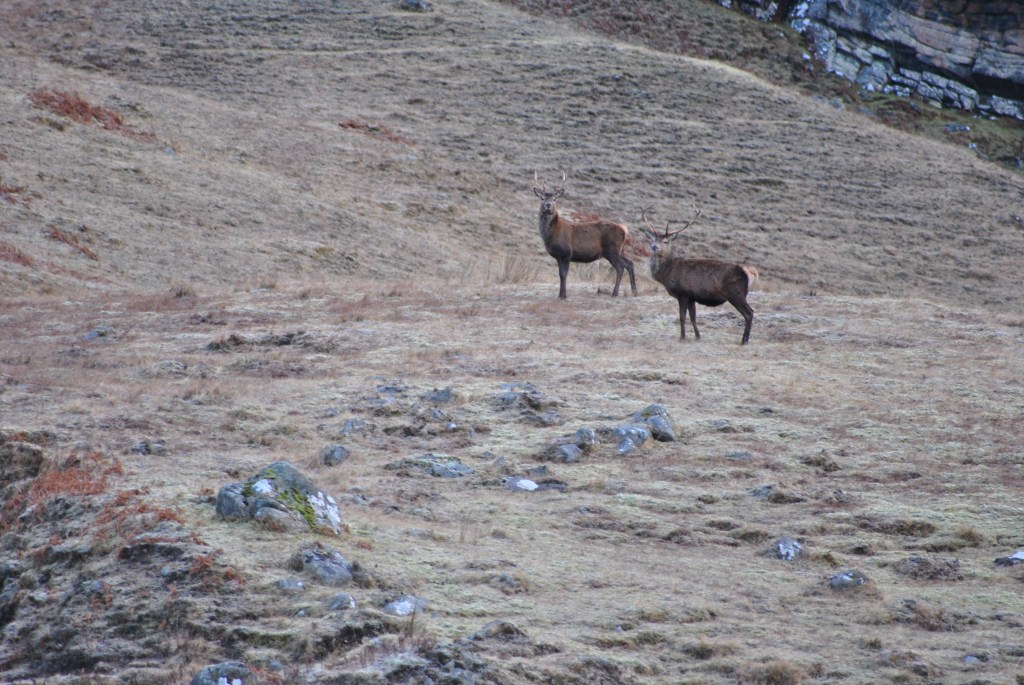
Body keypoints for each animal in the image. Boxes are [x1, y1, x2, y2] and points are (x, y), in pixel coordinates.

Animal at [533, 172, 637, 300]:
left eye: (554, 199)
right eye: (542, 198)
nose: (548, 205)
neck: (551, 235)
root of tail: (624, 230)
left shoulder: (567, 252)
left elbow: (563, 274)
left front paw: (564, 295)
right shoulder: (558, 256)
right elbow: (560, 274)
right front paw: (560, 295)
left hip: (612, 250)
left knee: (620, 267)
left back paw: (615, 293)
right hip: (620, 250)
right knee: (630, 263)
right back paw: (634, 291)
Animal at [640, 205, 759, 345]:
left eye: (665, 241)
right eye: (653, 239)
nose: (654, 247)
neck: (667, 273)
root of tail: (748, 272)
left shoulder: (683, 293)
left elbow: (682, 316)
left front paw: (682, 337)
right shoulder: (692, 297)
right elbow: (693, 317)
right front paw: (698, 336)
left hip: (736, 294)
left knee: (749, 313)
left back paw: (744, 340)